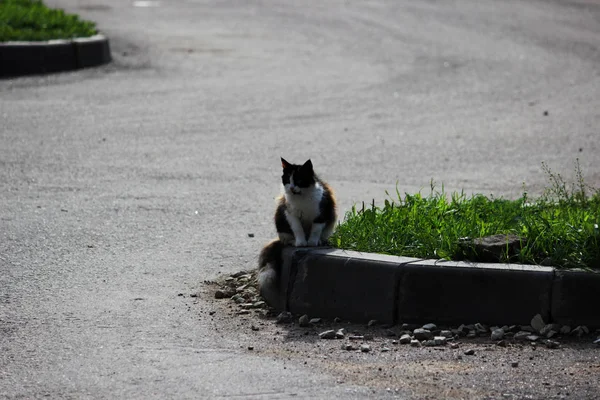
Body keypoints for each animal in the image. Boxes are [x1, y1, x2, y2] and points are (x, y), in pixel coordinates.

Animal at [256, 158, 336, 304]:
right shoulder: (290, 214)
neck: (301, 197)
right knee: (287, 237)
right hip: (280, 216)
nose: (292, 188)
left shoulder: (321, 213)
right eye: (288, 180)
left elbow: (315, 230)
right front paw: (301, 243)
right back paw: (292, 241)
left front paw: (312, 242)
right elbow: (298, 229)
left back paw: (321, 241)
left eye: (299, 180)